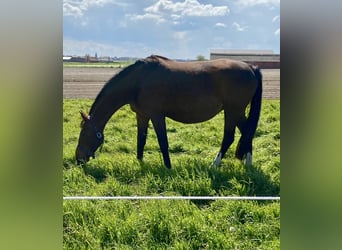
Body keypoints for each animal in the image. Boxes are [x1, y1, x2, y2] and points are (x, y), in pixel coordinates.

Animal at [75, 54, 262, 168]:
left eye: (84, 133)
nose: (78, 159)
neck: (138, 81)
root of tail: (251, 67)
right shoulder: (142, 115)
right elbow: (141, 140)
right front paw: (139, 161)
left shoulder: (157, 116)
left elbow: (163, 142)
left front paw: (168, 166)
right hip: (238, 112)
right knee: (247, 133)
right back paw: (248, 164)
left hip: (232, 111)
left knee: (229, 137)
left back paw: (214, 165)